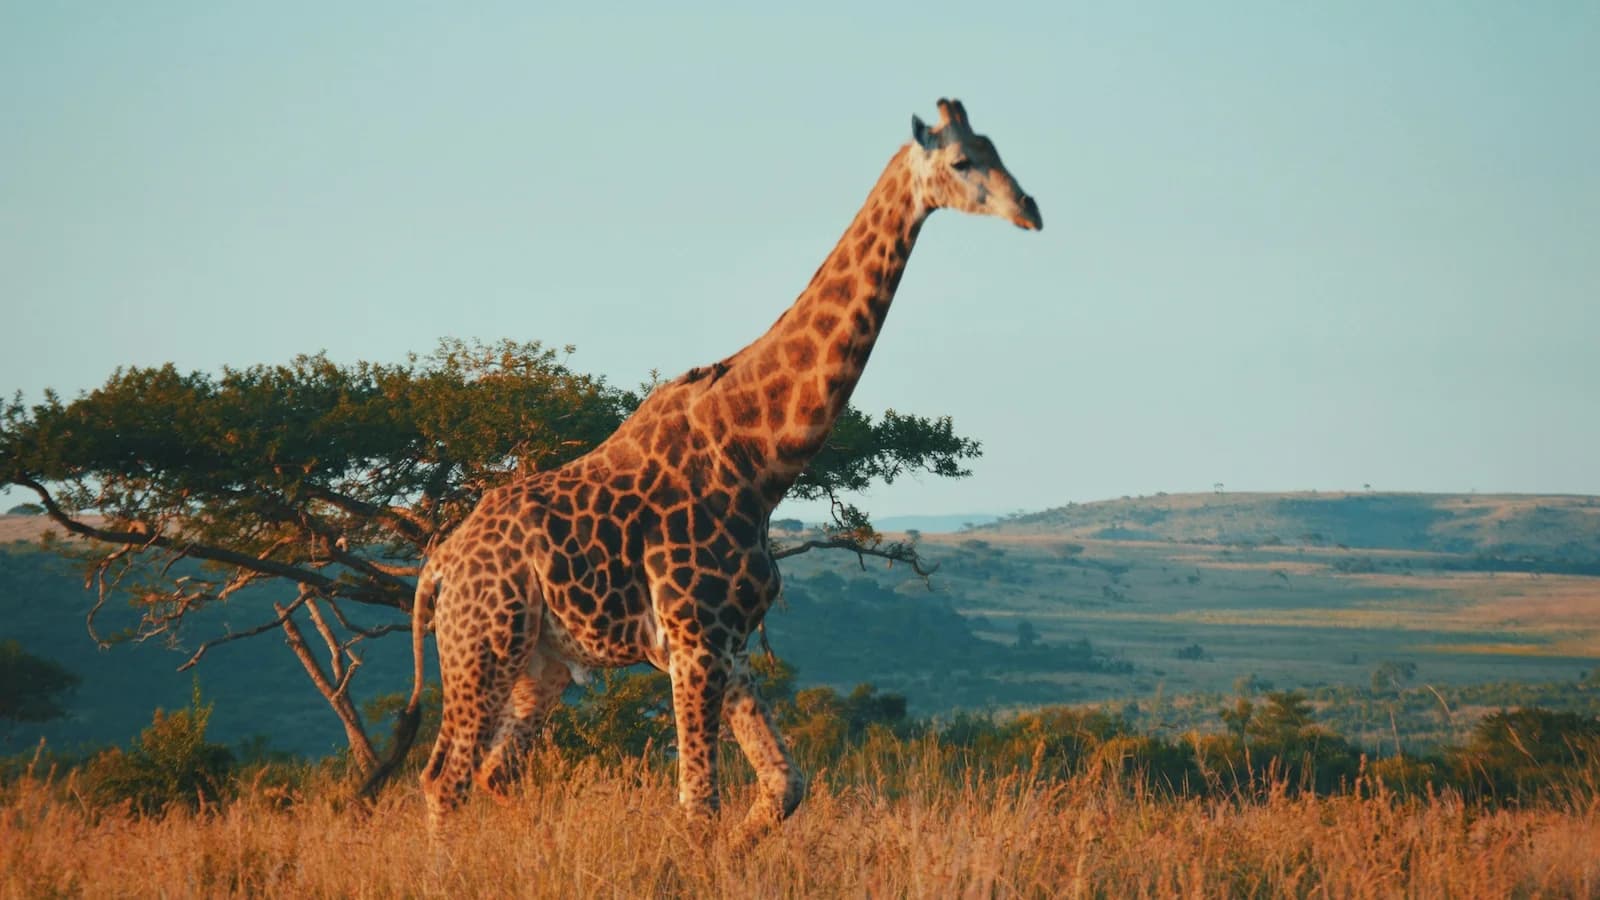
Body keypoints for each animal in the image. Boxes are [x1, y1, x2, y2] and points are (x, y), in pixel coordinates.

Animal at [398, 98, 1040, 846]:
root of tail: (439, 567)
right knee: (444, 778)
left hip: (543, 663)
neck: (758, 458)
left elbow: (785, 784)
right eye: (963, 161)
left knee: (495, 772)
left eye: (997, 148)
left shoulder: (725, 645)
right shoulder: (695, 641)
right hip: (483, 646)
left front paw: (739, 853)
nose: (1030, 209)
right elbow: (698, 805)